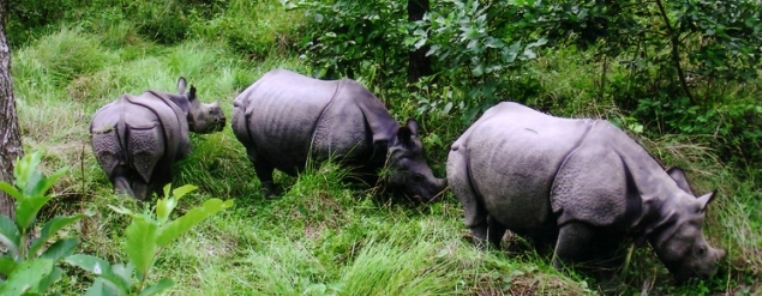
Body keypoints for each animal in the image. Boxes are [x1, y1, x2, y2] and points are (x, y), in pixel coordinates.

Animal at [89, 77, 224, 200]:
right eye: (210, 111)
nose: (223, 120)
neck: (185, 105)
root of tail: (122, 120)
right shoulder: (183, 143)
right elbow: (189, 160)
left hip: (104, 133)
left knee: (117, 175)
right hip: (144, 131)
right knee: (142, 174)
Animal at [232, 68, 446, 200]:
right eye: (416, 177)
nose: (434, 199)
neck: (389, 139)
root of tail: (252, 86)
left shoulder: (370, 156)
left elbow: (364, 180)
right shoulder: (330, 157)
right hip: (240, 108)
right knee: (255, 154)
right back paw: (272, 196)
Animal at [446, 102, 724, 280]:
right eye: (700, 250)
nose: (709, 276)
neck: (660, 206)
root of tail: (476, 122)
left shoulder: (612, 219)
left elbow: (607, 259)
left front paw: (608, 285)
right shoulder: (578, 215)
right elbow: (567, 252)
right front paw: (560, 276)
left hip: (499, 150)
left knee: (496, 208)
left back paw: (496, 255)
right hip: (460, 150)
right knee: (474, 207)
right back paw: (484, 255)